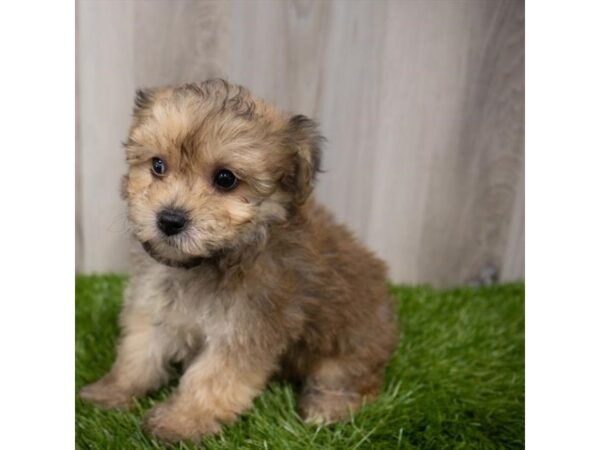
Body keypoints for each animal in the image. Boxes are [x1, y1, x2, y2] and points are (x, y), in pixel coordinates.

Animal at [81, 79, 398, 442]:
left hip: (349, 343)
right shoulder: (156, 303)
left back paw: (327, 408)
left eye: (225, 179)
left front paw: (180, 421)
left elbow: (212, 379)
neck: (209, 261)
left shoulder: (245, 329)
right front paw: (113, 390)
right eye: (158, 166)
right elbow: (138, 351)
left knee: (353, 380)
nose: (170, 220)